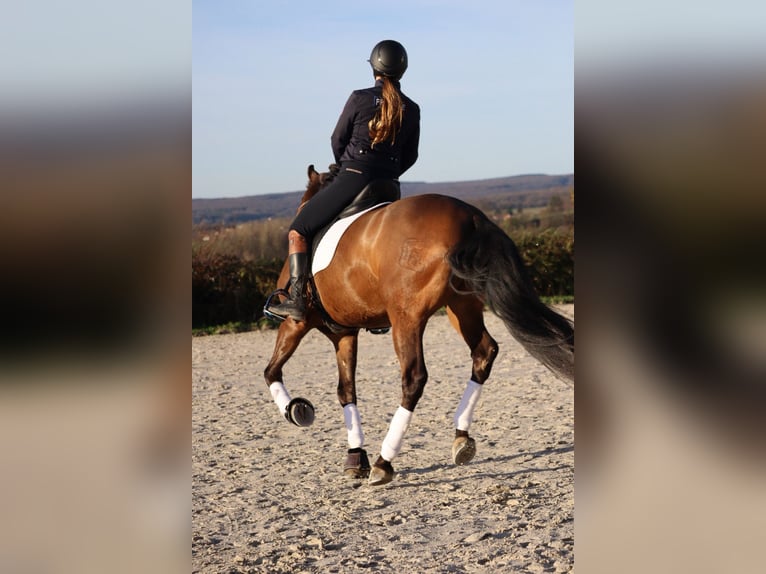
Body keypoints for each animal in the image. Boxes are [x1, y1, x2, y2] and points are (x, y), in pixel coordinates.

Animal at [264, 165, 574, 486]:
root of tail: (470, 217)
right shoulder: (345, 334)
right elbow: (345, 390)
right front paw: (355, 457)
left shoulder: (295, 323)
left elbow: (271, 371)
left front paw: (296, 409)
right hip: (460, 306)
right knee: (484, 352)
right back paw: (461, 439)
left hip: (407, 318)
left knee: (414, 378)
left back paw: (384, 462)